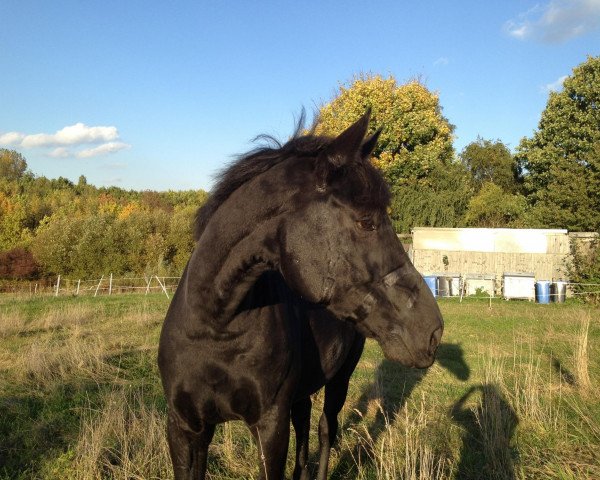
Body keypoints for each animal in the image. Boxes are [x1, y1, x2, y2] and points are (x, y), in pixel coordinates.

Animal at [157, 110, 442, 478]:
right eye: (366, 221)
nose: (432, 331)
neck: (214, 326)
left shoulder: (269, 428)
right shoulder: (184, 428)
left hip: (340, 379)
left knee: (325, 429)